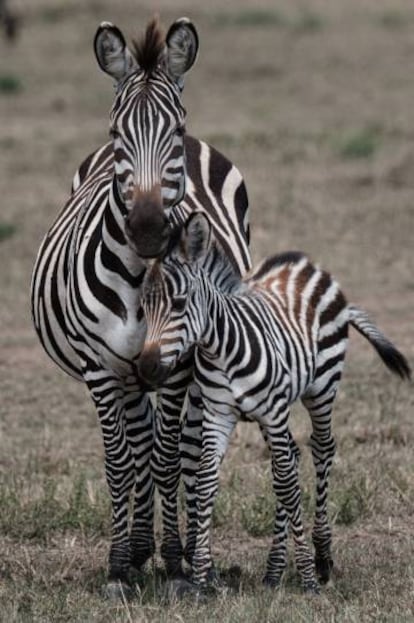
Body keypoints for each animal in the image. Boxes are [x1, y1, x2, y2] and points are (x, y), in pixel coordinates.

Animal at [30, 17, 251, 596]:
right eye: (116, 136)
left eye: (173, 132)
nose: (149, 229)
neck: (139, 281)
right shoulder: (101, 368)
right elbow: (119, 462)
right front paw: (119, 564)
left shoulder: (176, 368)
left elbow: (170, 457)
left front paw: (175, 562)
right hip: (129, 375)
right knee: (139, 445)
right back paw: (137, 547)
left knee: (186, 448)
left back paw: (186, 552)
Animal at [140, 212, 410, 592]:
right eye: (143, 307)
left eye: (178, 304)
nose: (147, 368)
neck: (221, 347)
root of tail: (307, 264)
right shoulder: (218, 414)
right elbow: (207, 479)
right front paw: (202, 577)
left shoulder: (273, 412)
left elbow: (286, 485)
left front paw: (308, 576)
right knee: (292, 458)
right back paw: (273, 570)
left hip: (321, 388)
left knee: (320, 450)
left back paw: (322, 557)